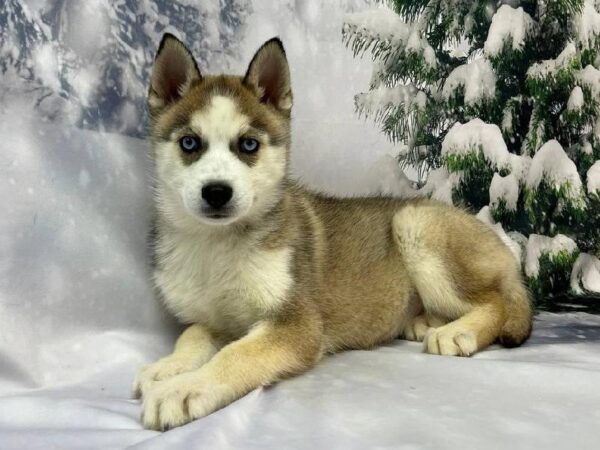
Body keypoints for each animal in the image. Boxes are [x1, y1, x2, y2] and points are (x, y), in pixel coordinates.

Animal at [134, 34, 532, 428]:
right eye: (189, 143)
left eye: (248, 144)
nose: (217, 192)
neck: (217, 245)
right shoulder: (214, 319)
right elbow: (192, 335)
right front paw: (165, 368)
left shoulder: (298, 323)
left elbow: (236, 355)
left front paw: (183, 389)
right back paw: (423, 321)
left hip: (413, 222)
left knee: (495, 302)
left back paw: (457, 331)